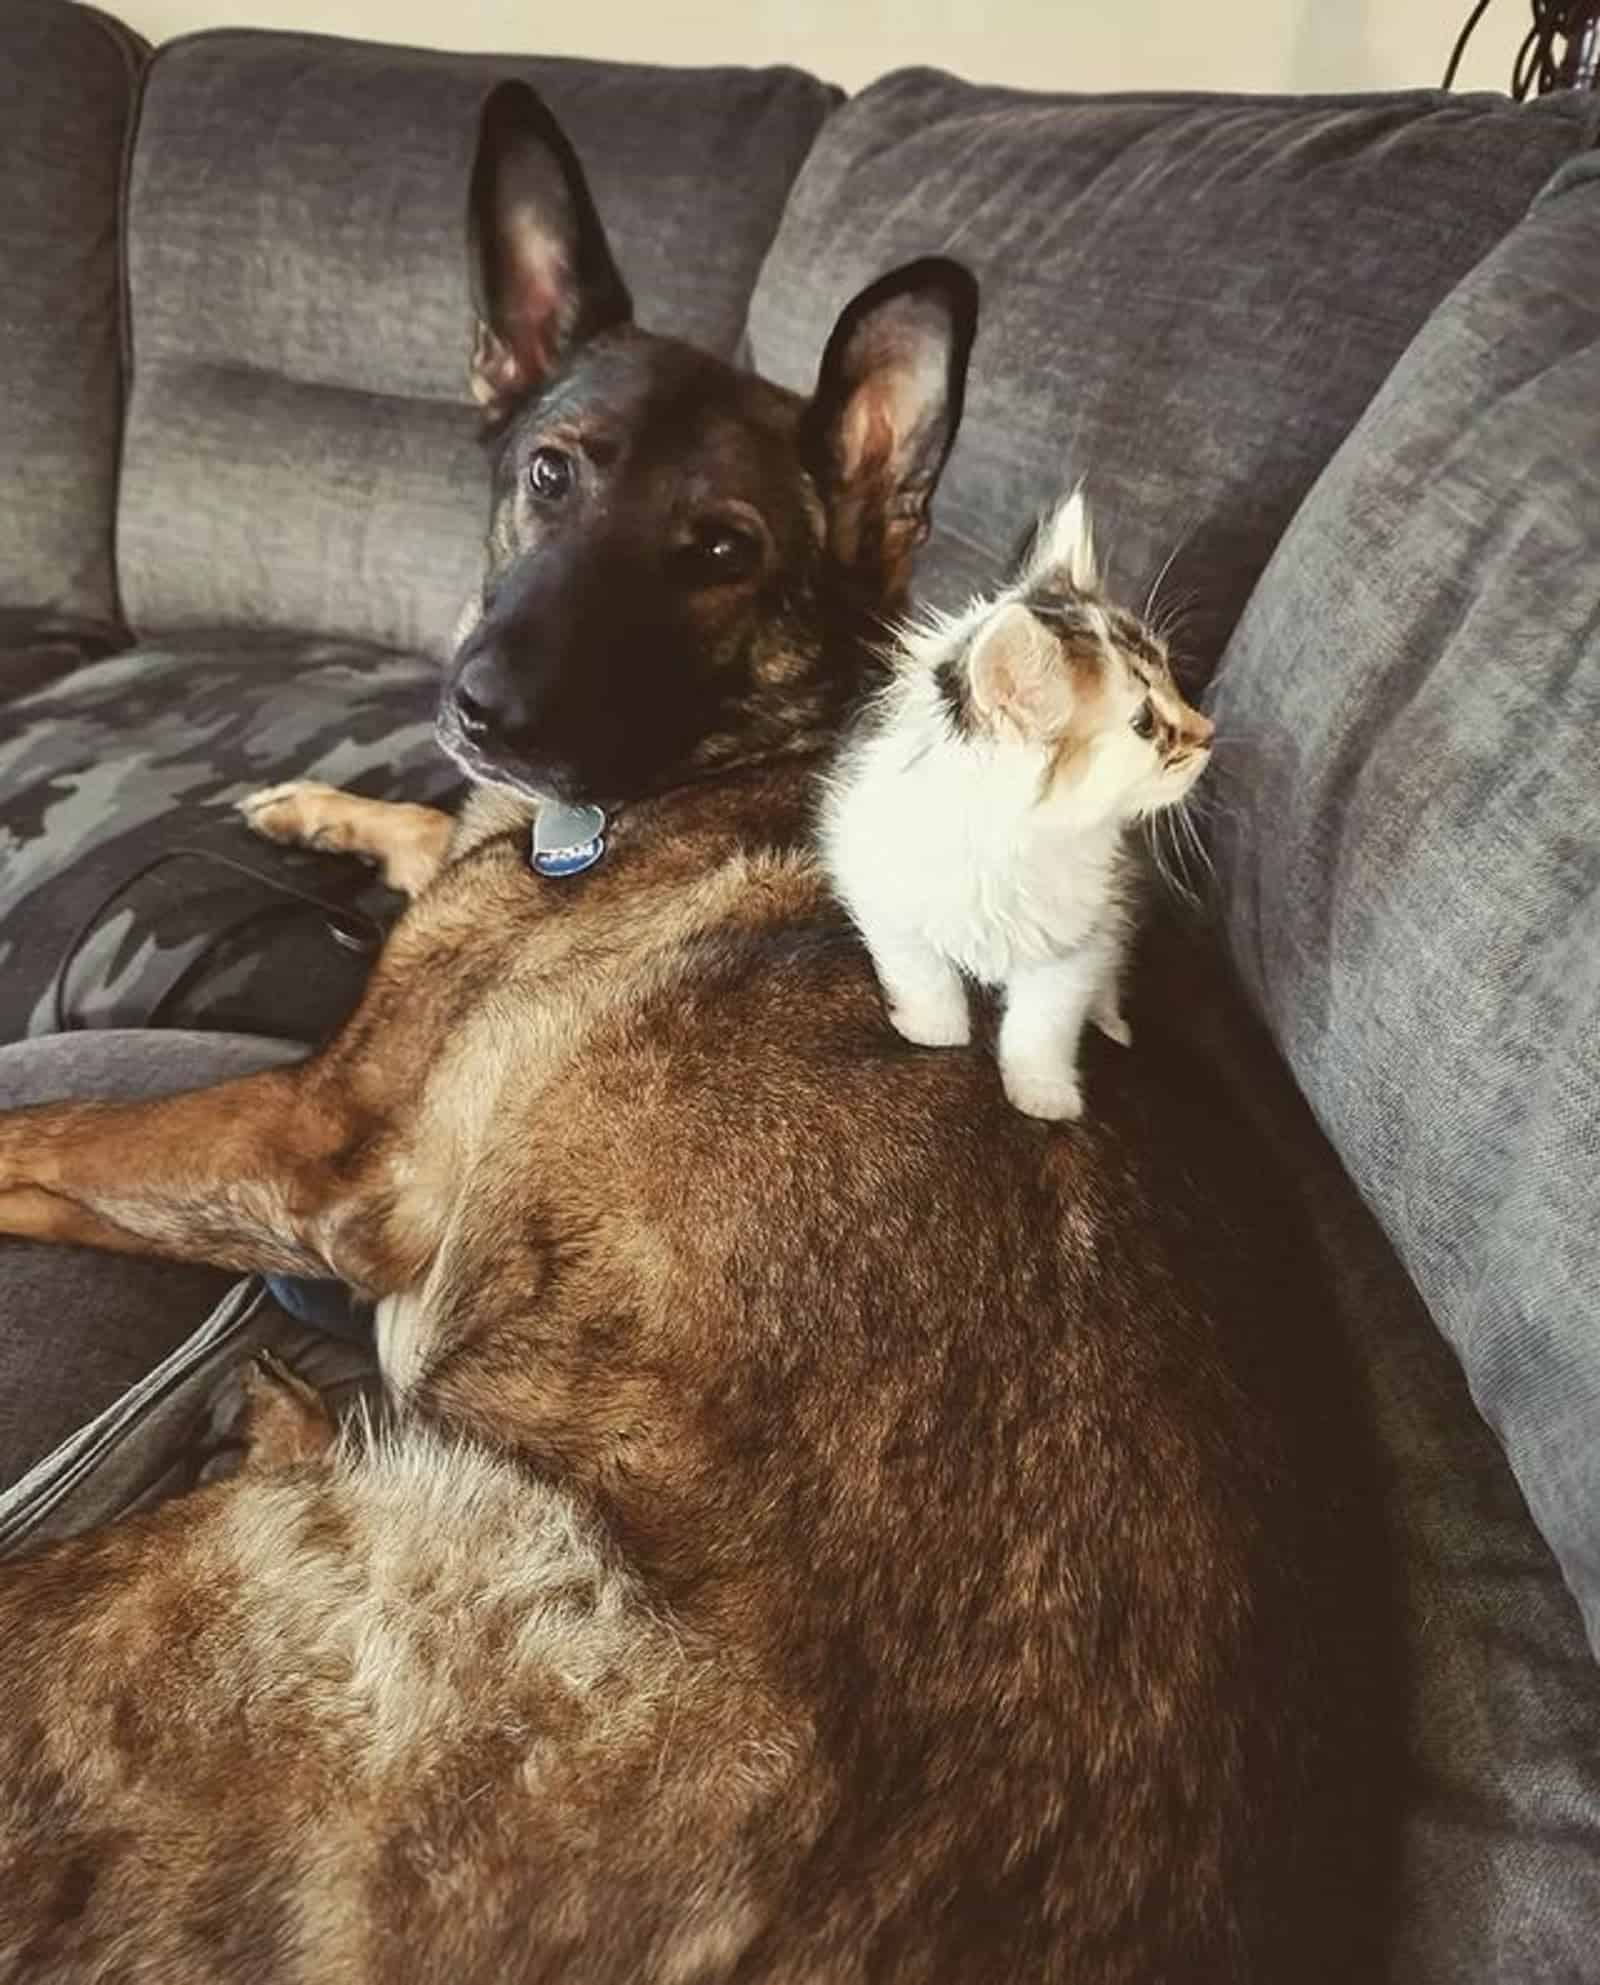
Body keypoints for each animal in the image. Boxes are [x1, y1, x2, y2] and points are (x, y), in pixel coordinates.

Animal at [825, 490, 1214, 1127]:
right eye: (1144, 723)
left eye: (1173, 680)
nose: (1209, 733)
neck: (1014, 840)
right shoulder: (873, 880)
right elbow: (921, 968)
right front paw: (935, 1033)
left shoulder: (1080, 937)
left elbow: (1043, 1023)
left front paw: (1043, 1095)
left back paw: (1112, 1023)